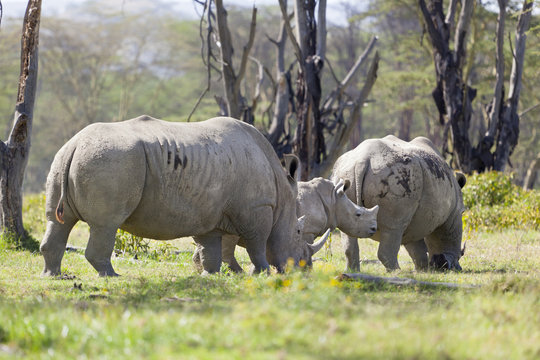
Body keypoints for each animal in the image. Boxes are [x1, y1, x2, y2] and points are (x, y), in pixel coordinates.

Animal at [40, 115, 326, 276]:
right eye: (298, 232)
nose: (306, 269)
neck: (282, 192)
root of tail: (76, 144)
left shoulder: (210, 213)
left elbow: (210, 246)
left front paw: (210, 275)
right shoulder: (257, 208)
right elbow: (258, 242)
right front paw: (263, 273)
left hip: (66, 158)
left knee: (58, 221)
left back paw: (54, 276)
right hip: (111, 161)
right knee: (106, 224)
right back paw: (111, 275)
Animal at [194, 176, 380, 272]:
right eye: (358, 215)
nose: (374, 229)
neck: (334, 200)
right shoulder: (308, 230)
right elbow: (306, 248)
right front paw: (306, 268)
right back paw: (237, 273)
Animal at [332, 136, 466, 272]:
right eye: (461, 254)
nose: (457, 268)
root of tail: (361, 161)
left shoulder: (415, 220)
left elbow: (417, 248)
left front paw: (423, 270)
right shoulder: (451, 216)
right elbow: (447, 235)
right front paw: (425, 269)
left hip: (344, 175)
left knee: (349, 229)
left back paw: (353, 271)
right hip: (397, 177)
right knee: (393, 228)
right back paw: (397, 272)